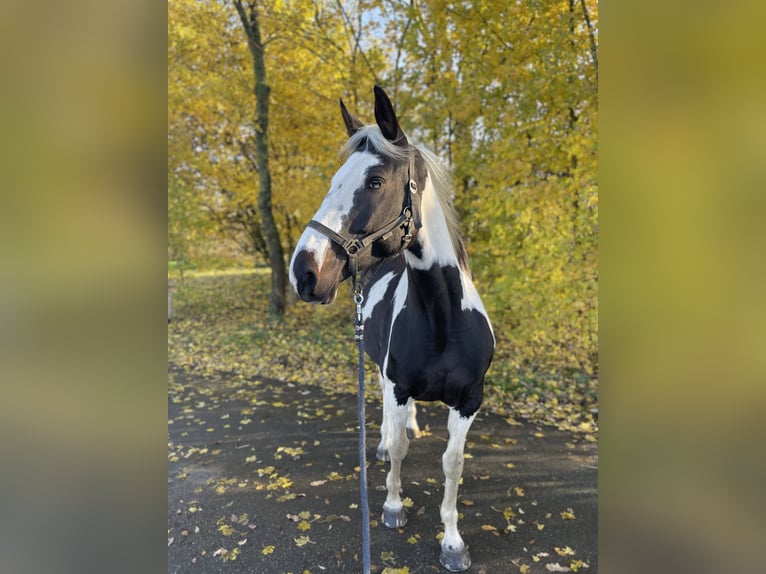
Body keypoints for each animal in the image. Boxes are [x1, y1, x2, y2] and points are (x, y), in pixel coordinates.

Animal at [290, 88, 498, 572]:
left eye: (374, 182)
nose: (304, 272)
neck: (444, 321)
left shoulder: (469, 400)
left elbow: (453, 464)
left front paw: (453, 543)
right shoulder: (399, 385)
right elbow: (400, 452)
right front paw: (392, 505)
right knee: (384, 406)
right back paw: (386, 440)